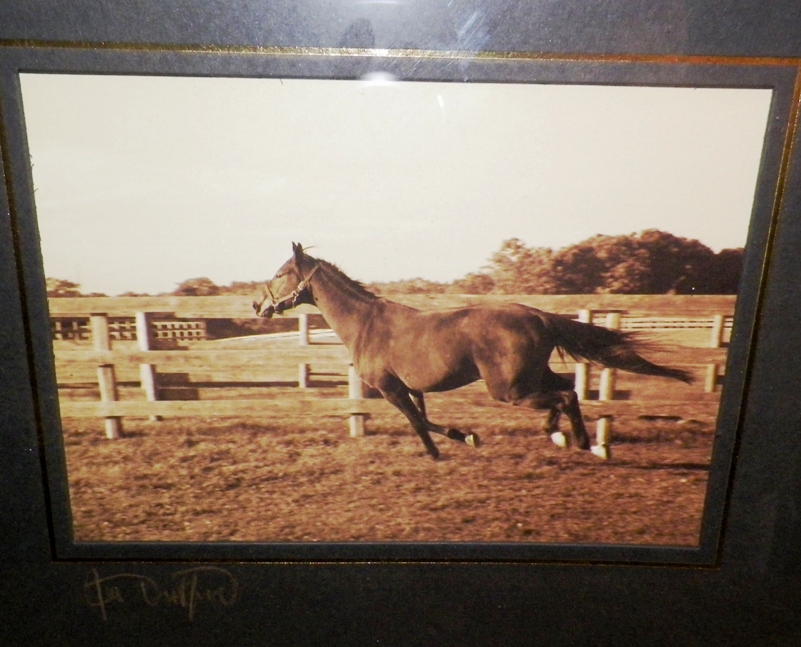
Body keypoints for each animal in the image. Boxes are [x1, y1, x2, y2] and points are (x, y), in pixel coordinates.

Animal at [253, 243, 693, 460]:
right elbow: (425, 419)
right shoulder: (412, 389)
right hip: (532, 376)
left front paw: (445, 448)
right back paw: (574, 440)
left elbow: (418, 423)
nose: (258, 305)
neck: (365, 325)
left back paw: (578, 441)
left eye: (279, 274)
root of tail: (538, 316)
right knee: (568, 391)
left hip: (508, 389)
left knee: (565, 396)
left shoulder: (390, 389)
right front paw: (459, 438)